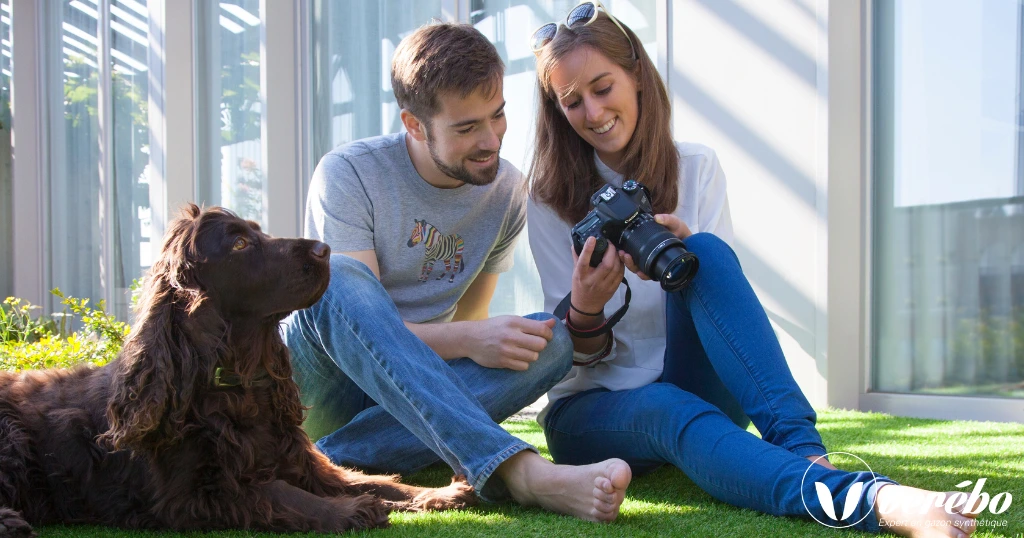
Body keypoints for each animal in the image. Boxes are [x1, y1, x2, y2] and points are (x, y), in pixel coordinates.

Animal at [0, 203, 471, 532]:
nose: (325, 249)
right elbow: (277, 491)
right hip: (12, 439)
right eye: (240, 244)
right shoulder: (197, 493)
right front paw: (349, 510)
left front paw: (435, 493)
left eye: (260, 232)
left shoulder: (298, 458)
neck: (238, 384)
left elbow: (368, 478)